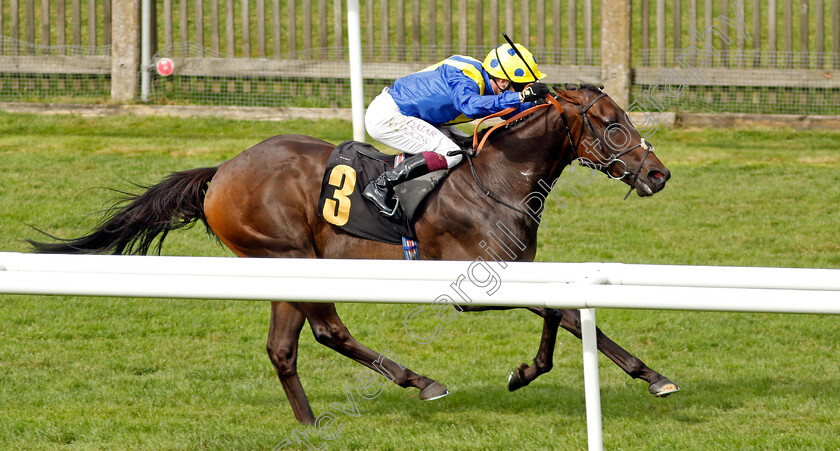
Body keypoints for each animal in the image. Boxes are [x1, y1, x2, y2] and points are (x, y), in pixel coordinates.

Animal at [29, 84, 680, 424]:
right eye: (611, 122)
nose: (658, 174)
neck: (496, 178)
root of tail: (221, 172)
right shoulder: (472, 286)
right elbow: (560, 312)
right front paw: (636, 375)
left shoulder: (522, 268)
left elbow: (565, 313)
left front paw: (631, 374)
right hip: (289, 258)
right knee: (325, 331)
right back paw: (419, 382)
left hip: (285, 268)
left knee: (286, 346)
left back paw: (311, 422)